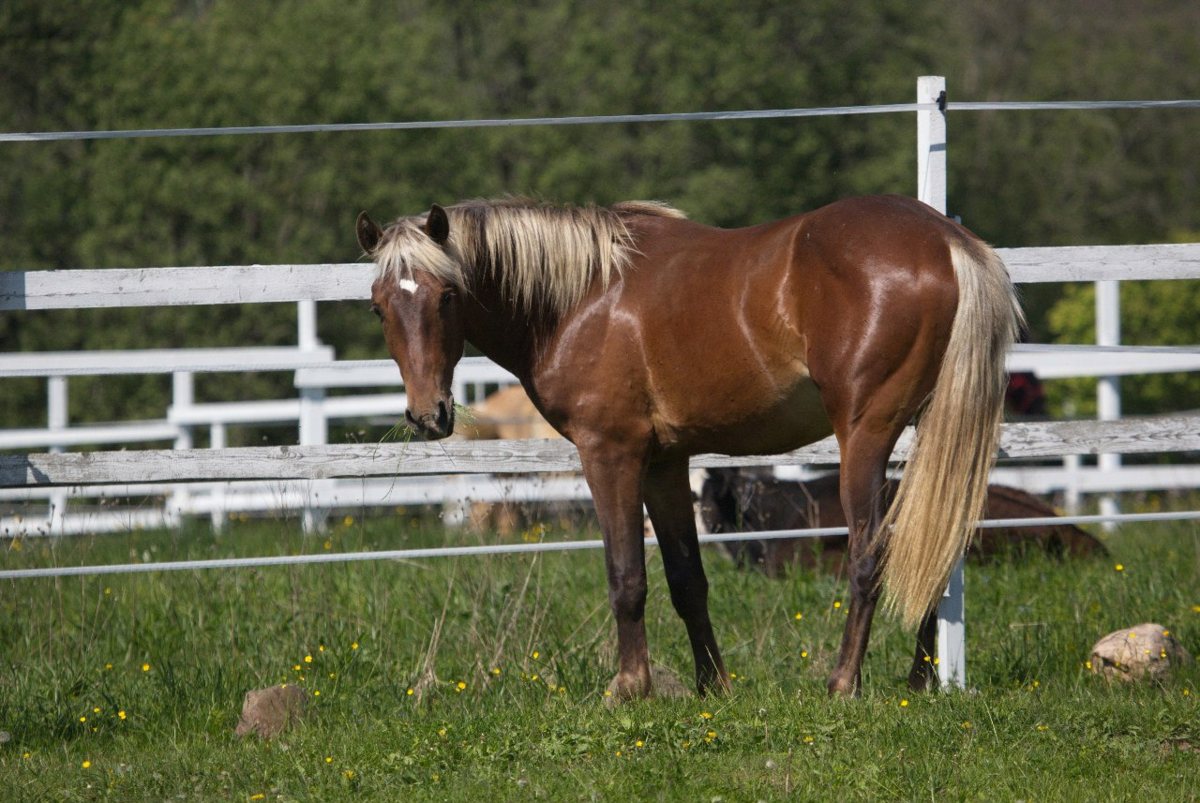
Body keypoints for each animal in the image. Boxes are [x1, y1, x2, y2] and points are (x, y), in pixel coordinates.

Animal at [357, 192, 1022, 696]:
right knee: (930, 544)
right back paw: (919, 682)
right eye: (379, 307)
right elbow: (686, 579)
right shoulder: (665, 463)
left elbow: (627, 575)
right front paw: (713, 687)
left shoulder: (611, 454)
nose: (428, 415)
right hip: (929, 435)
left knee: (870, 555)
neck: (584, 294)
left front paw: (630, 688)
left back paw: (843, 685)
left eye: (447, 296)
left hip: (865, 435)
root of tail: (946, 240)